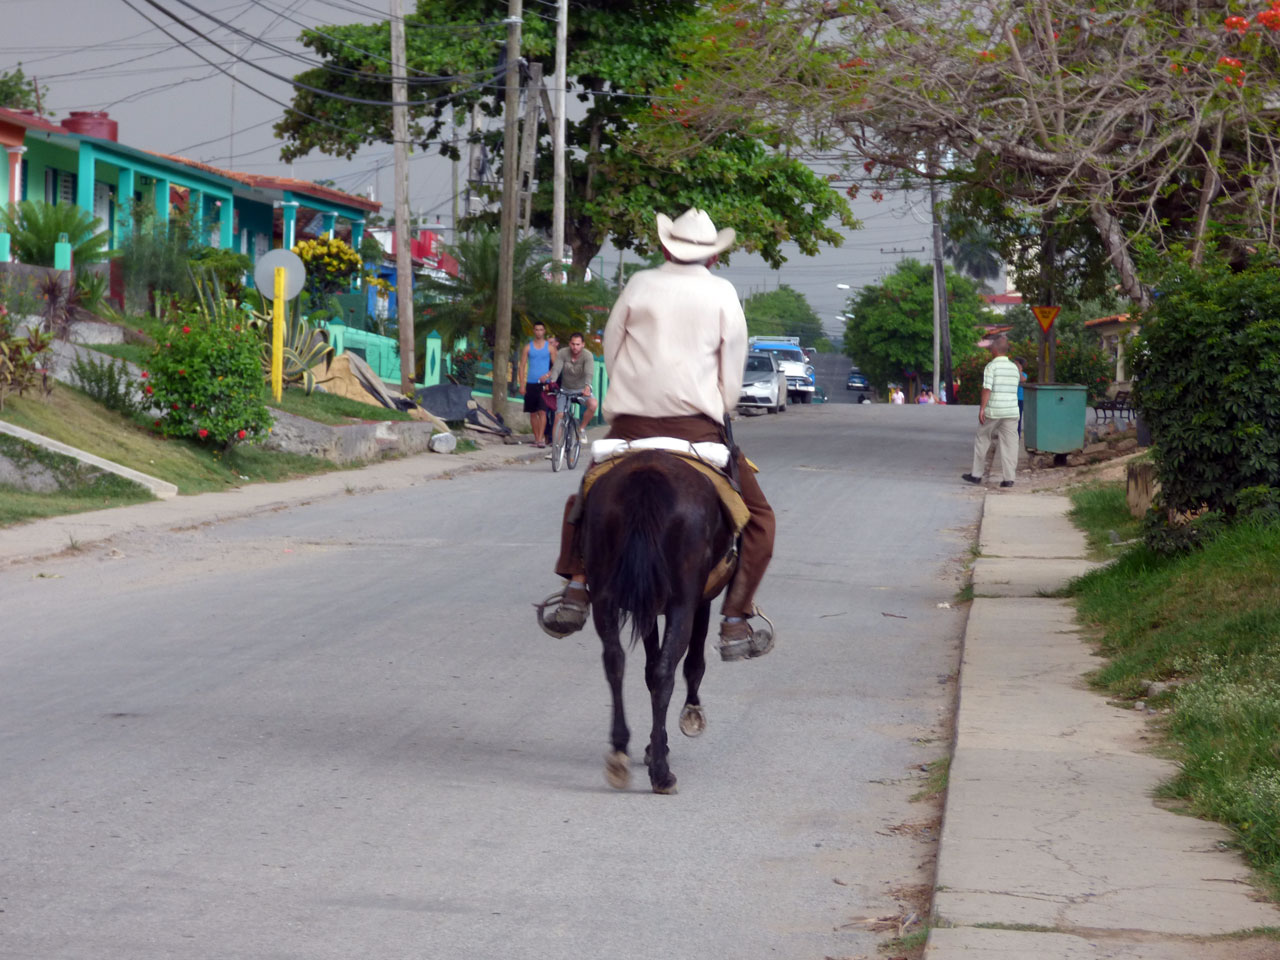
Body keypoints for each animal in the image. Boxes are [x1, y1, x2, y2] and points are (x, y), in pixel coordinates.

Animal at [581, 450, 732, 798]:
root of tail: (648, 475)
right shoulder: (700, 598)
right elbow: (692, 662)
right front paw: (688, 718)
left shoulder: (647, 604)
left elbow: (648, 667)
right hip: (682, 601)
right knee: (666, 672)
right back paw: (662, 774)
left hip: (605, 592)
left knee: (615, 660)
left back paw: (619, 753)